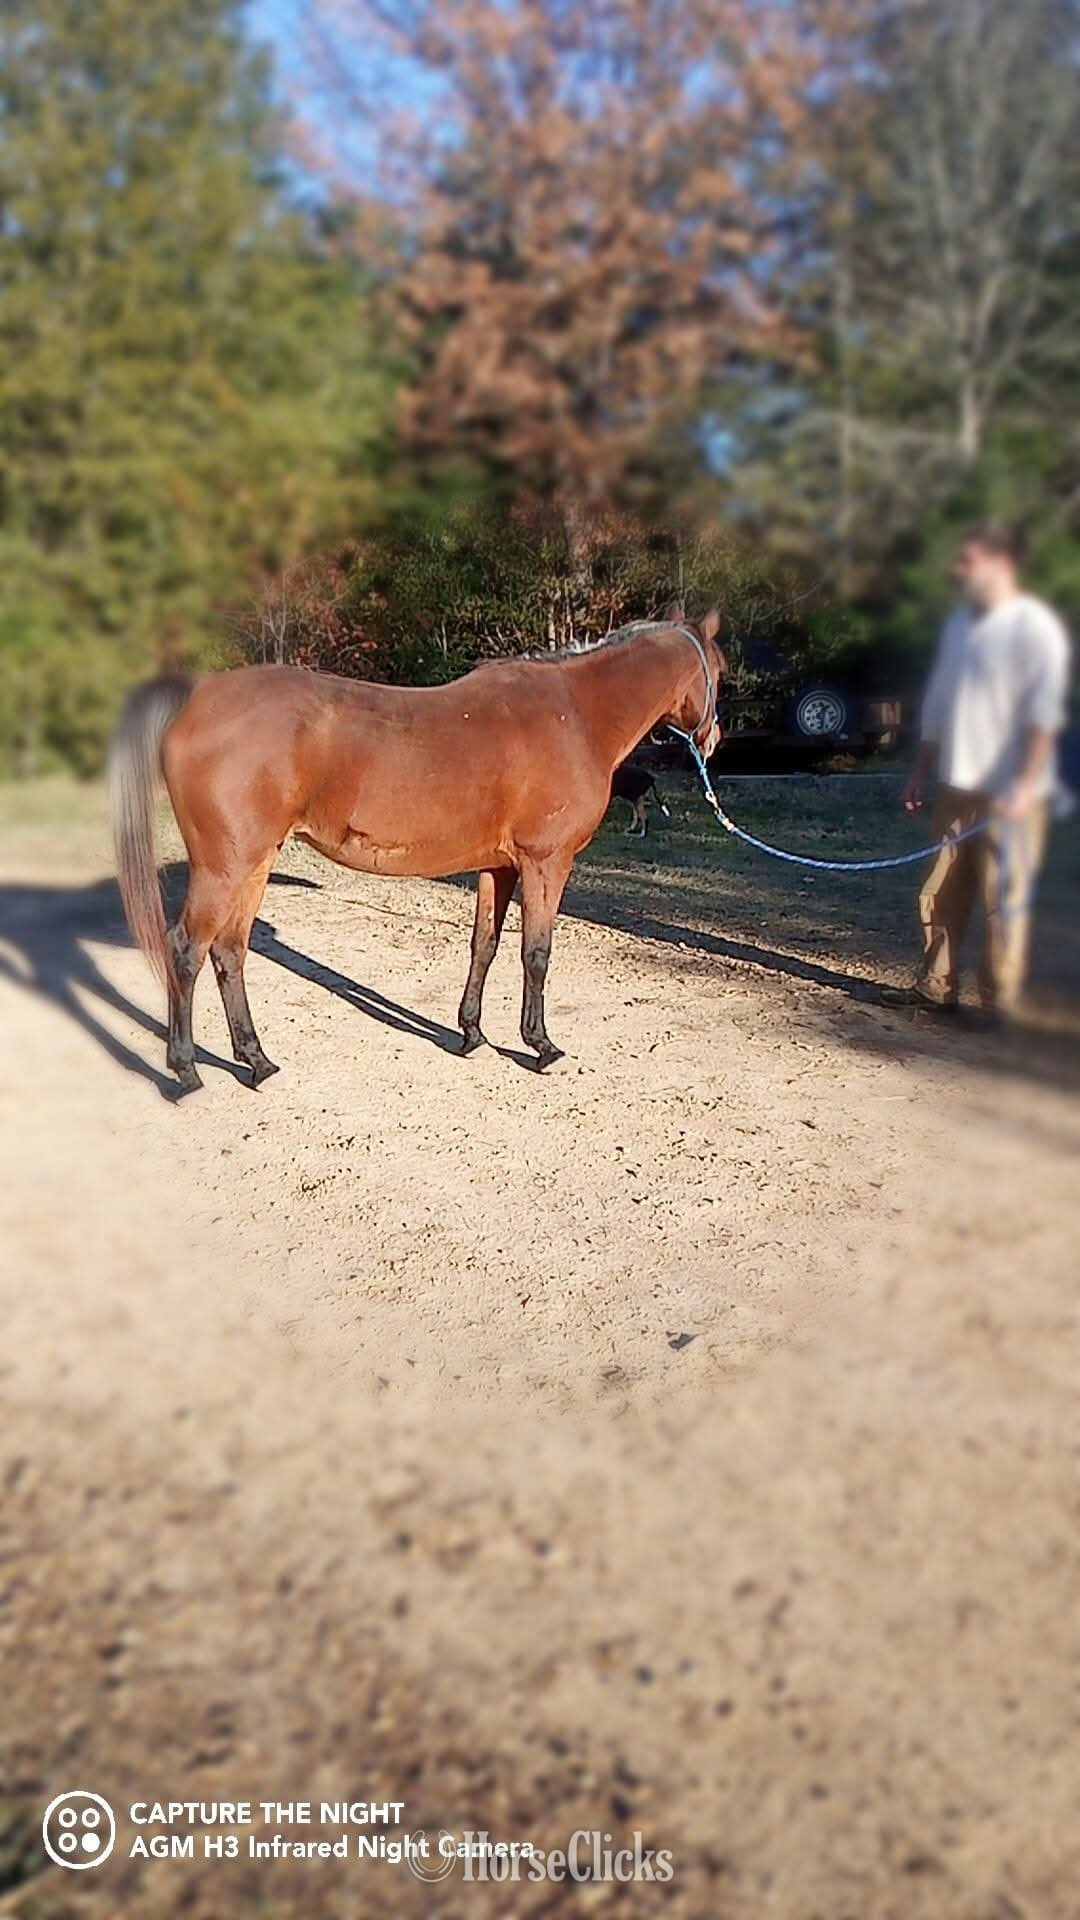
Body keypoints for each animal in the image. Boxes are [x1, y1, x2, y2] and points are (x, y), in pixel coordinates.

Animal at [109, 606, 725, 1092]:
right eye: (719, 670)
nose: (715, 739)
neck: (573, 713)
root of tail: (198, 696)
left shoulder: (498, 868)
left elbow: (484, 946)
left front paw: (471, 1033)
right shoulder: (546, 862)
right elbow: (537, 953)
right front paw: (541, 1046)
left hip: (255, 862)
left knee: (230, 951)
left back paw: (257, 1062)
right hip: (225, 866)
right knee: (186, 949)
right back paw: (187, 1070)